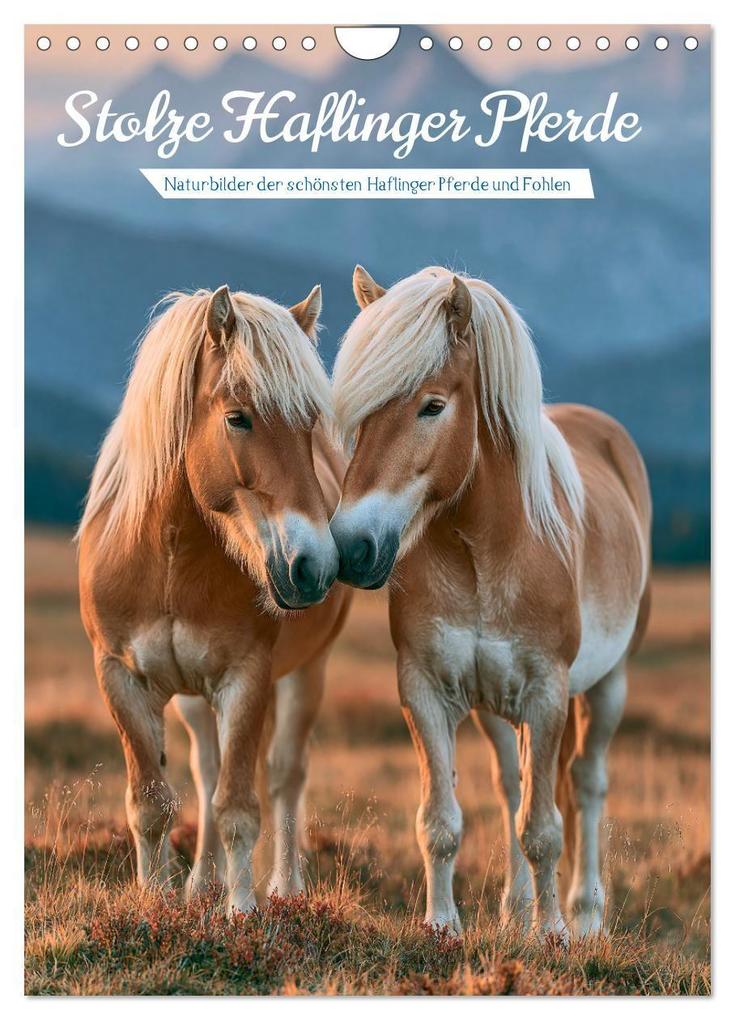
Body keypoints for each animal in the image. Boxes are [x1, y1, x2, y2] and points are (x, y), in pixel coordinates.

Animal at [78, 284, 351, 913]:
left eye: (309, 424)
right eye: (237, 418)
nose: (314, 565)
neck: (169, 559)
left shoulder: (247, 676)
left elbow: (238, 808)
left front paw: (242, 912)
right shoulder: (120, 675)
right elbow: (151, 802)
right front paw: (155, 902)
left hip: (307, 671)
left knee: (284, 773)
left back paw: (284, 887)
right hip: (193, 697)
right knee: (206, 770)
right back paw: (203, 884)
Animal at [329, 265, 651, 937]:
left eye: (432, 405)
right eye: (363, 413)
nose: (351, 546)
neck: (483, 550)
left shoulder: (548, 692)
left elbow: (544, 829)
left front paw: (553, 936)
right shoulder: (425, 688)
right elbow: (441, 821)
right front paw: (442, 926)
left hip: (607, 684)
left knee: (585, 784)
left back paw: (584, 916)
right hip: (496, 706)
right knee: (513, 783)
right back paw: (516, 910)